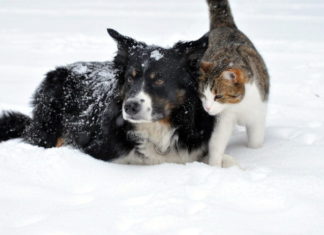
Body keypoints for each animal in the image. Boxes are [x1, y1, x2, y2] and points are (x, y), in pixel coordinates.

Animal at [199, 0, 270, 167]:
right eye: (203, 95)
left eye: (218, 96)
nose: (207, 108)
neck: (239, 105)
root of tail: (224, 26)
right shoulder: (223, 117)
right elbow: (217, 142)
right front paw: (214, 166)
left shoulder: (258, 112)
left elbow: (256, 141)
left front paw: (256, 153)